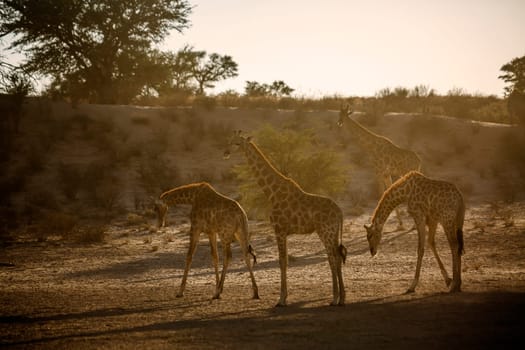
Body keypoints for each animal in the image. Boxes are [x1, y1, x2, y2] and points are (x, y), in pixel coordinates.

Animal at [223, 131, 346, 306]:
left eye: (237, 144)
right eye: (228, 140)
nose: (225, 152)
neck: (272, 193)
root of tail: (340, 212)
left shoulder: (279, 229)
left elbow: (281, 261)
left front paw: (281, 299)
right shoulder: (284, 232)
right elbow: (285, 261)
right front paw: (284, 297)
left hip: (325, 231)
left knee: (332, 257)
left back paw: (335, 298)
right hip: (333, 232)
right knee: (337, 257)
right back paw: (342, 298)